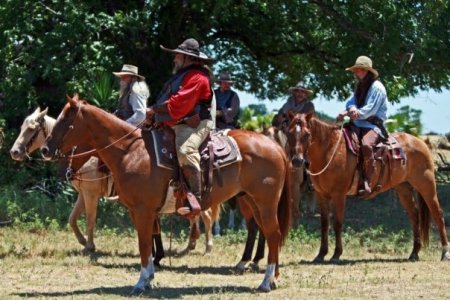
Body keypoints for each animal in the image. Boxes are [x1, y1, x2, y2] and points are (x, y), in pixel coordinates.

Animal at [11, 106, 220, 258]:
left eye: (31, 129)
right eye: (21, 127)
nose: (14, 152)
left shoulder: (91, 193)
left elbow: (90, 218)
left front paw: (90, 245)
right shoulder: (83, 193)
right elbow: (72, 219)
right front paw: (83, 241)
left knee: (205, 215)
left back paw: (206, 247)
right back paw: (191, 245)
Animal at [40, 95, 290, 292]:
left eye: (65, 120)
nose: (45, 150)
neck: (131, 151)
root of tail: (275, 146)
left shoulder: (142, 210)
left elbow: (144, 243)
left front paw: (141, 282)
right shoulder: (142, 211)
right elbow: (149, 239)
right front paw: (149, 277)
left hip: (265, 203)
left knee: (273, 234)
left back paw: (266, 282)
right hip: (252, 202)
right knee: (267, 234)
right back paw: (271, 276)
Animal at [286, 111, 448, 262]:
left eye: (307, 134)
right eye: (289, 132)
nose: (297, 161)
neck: (330, 150)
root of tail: (421, 142)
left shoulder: (339, 194)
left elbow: (337, 223)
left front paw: (336, 254)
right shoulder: (321, 194)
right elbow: (324, 224)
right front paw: (321, 254)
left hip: (426, 184)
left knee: (438, 214)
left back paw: (445, 253)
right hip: (404, 189)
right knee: (414, 215)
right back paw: (414, 253)